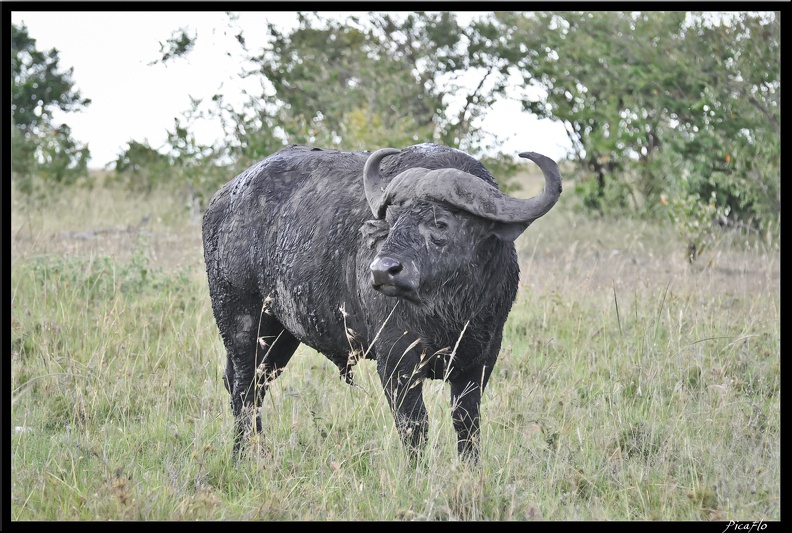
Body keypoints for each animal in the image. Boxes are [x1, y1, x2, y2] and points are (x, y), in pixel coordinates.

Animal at [204, 142, 564, 462]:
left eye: (441, 223)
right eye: (394, 221)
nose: (382, 270)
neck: (450, 311)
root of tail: (222, 201)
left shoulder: (481, 359)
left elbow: (467, 422)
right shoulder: (396, 361)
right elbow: (414, 426)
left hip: (281, 336)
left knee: (256, 386)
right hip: (242, 322)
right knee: (243, 389)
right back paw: (242, 456)